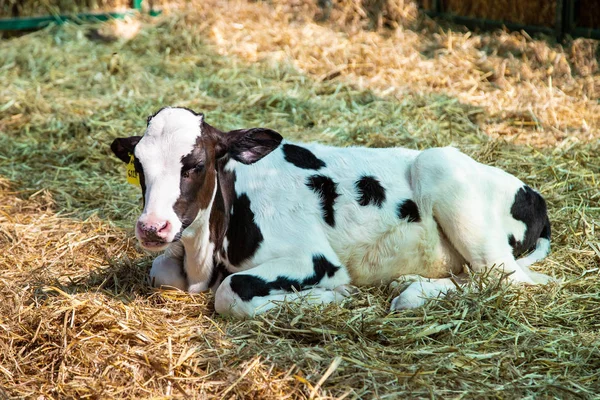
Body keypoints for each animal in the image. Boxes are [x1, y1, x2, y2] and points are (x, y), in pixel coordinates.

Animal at [111, 107, 552, 318]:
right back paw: (408, 281)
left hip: (440, 167)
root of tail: (532, 193)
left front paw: (333, 296)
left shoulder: (313, 258)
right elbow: (160, 271)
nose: (152, 227)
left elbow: (231, 291)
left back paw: (411, 295)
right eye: (139, 165)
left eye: (196, 164)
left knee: (509, 281)